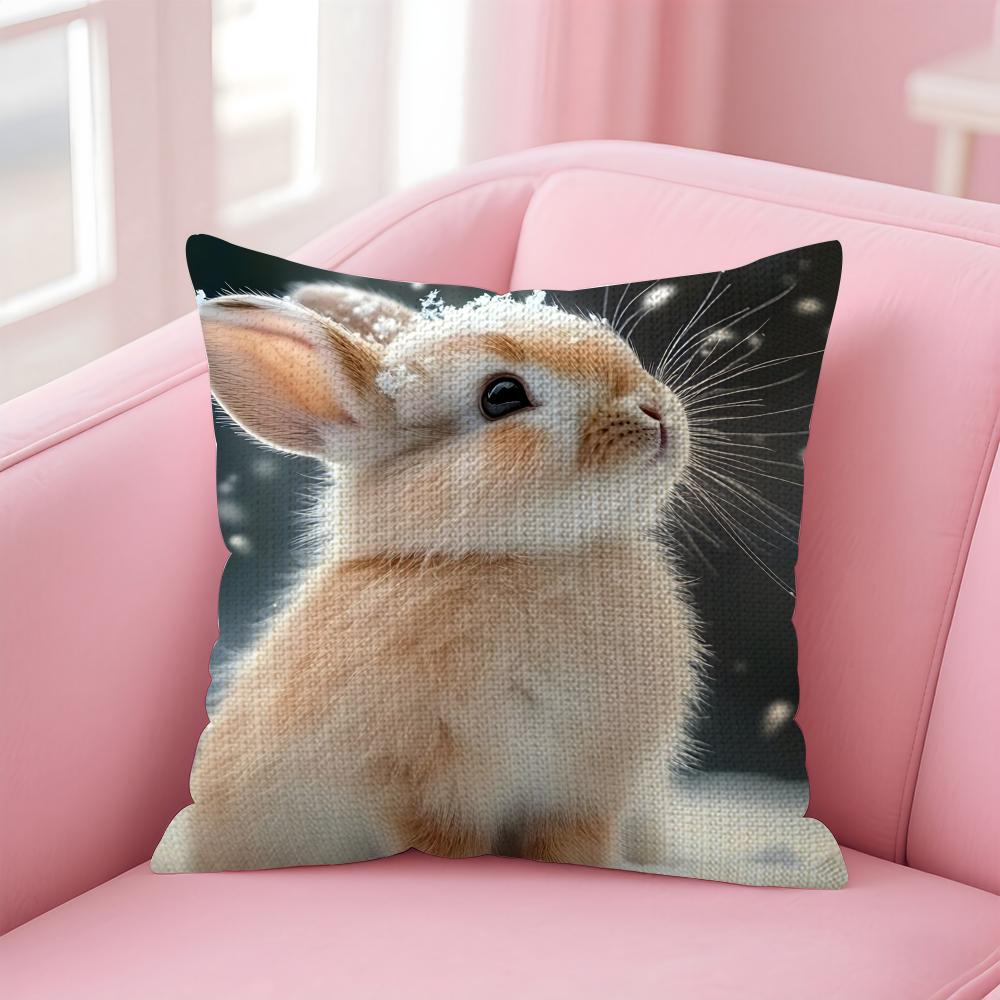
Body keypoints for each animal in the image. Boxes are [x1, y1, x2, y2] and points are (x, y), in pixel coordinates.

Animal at [152, 282, 705, 874]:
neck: (521, 556)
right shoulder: (430, 791)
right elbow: (450, 847)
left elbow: (573, 850)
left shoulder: (580, 798)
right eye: (502, 396)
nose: (654, 412)